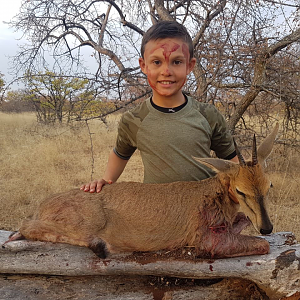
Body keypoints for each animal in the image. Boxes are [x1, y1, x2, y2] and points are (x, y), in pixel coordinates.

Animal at [4, 125, 278, 258]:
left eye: (269, 185)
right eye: (241, 191)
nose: (267, 227)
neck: (211, 193)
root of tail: (42, 205)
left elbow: (244, 221)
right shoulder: (208, 241)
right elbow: (263, 245)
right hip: (85, 222)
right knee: (26, 226)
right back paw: (99, 246)